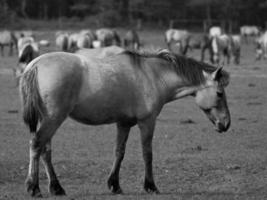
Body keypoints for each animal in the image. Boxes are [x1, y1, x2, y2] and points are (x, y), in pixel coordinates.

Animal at [19, 47, 231, 197]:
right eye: (220, 93)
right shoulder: (147, 122)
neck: (153, 76)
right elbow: (147, 154)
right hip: (53, 119)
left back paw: (56, 188)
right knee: (36, 145)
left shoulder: (124, 124)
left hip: (49, 120)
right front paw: (150, 186)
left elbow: (119, 152)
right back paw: (34, 188)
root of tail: (35, 64)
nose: (226, 124)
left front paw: (114, 184)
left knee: (45, 150)